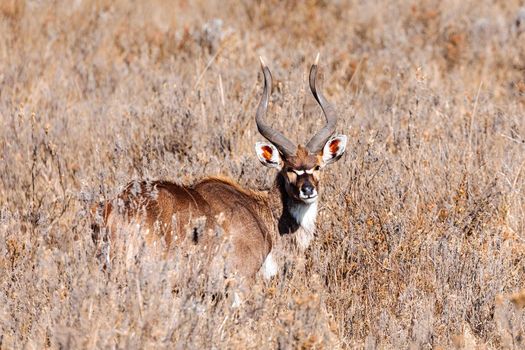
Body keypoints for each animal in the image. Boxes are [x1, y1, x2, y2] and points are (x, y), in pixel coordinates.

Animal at [93, 56, 348, 282]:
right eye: (289, 169)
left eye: (317, 166)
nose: (307, 190)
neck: (263, 212)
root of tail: (117, 209)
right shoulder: (239, 279)